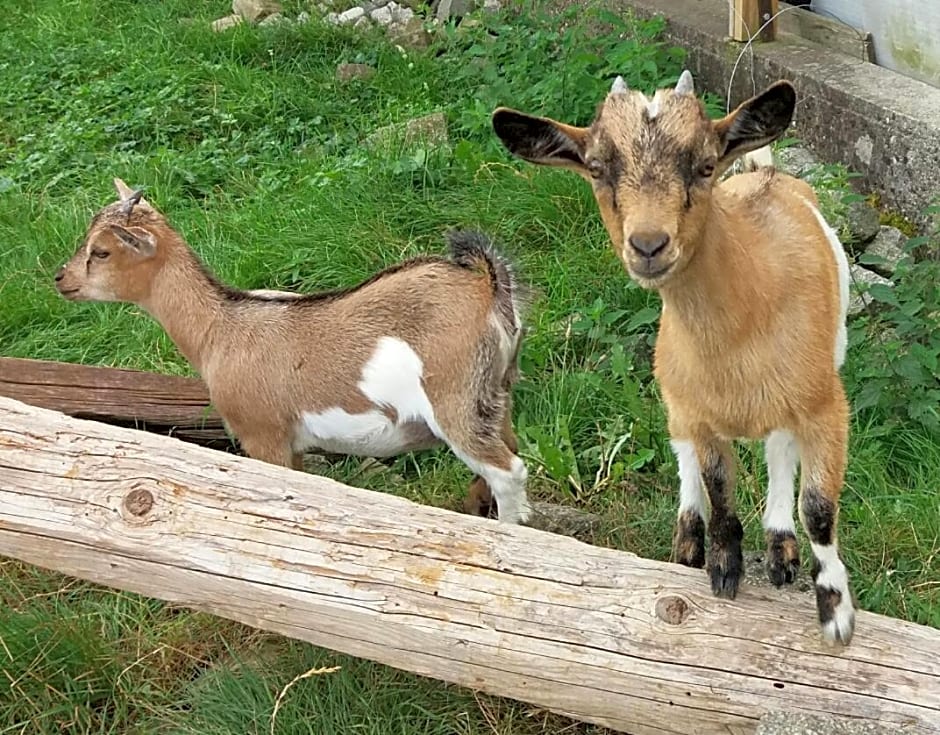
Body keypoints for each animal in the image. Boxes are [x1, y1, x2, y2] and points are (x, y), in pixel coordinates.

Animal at [55, 179, 532, 528]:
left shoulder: (263, 436)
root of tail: (485, 286)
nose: (62, 279)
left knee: (508, 471)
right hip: (495, 394)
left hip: (454, 398)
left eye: (101, 251)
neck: (219, 330)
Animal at [496, 70, 856, 644]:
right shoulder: (701, 412)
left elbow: (819, 509)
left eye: (705, 165)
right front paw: (724, 569)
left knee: (778, 444)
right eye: (596, 169)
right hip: (672, 382)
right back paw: (691, 537)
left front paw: (836, 613)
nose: (648, 245)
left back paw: (780, 545)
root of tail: (766, 173)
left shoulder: (825, 406)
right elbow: (719, 487)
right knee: (683, 441)